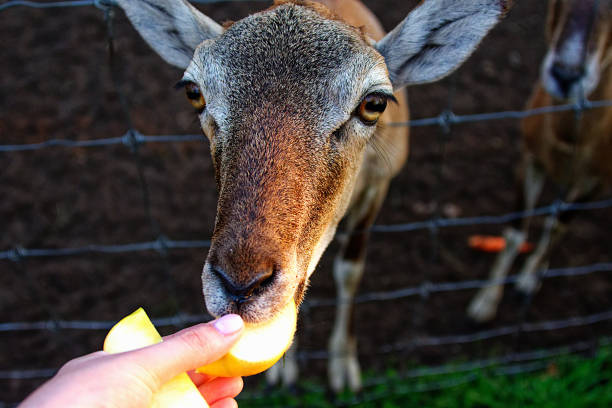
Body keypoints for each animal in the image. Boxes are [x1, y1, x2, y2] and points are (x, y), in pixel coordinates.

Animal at [117, 0, 510, 390]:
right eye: (194, 93)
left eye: (374, 103)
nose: (240, 285)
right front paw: (282, 372)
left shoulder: (377, 186)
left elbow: (350, 270)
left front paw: (343, 370)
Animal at [468, 0, 612, 324]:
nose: (566, 75)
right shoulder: (530, 158)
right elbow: (516, 230)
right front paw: (484, 305)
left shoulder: (599, 181)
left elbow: (559, 223)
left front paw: (527, 283)